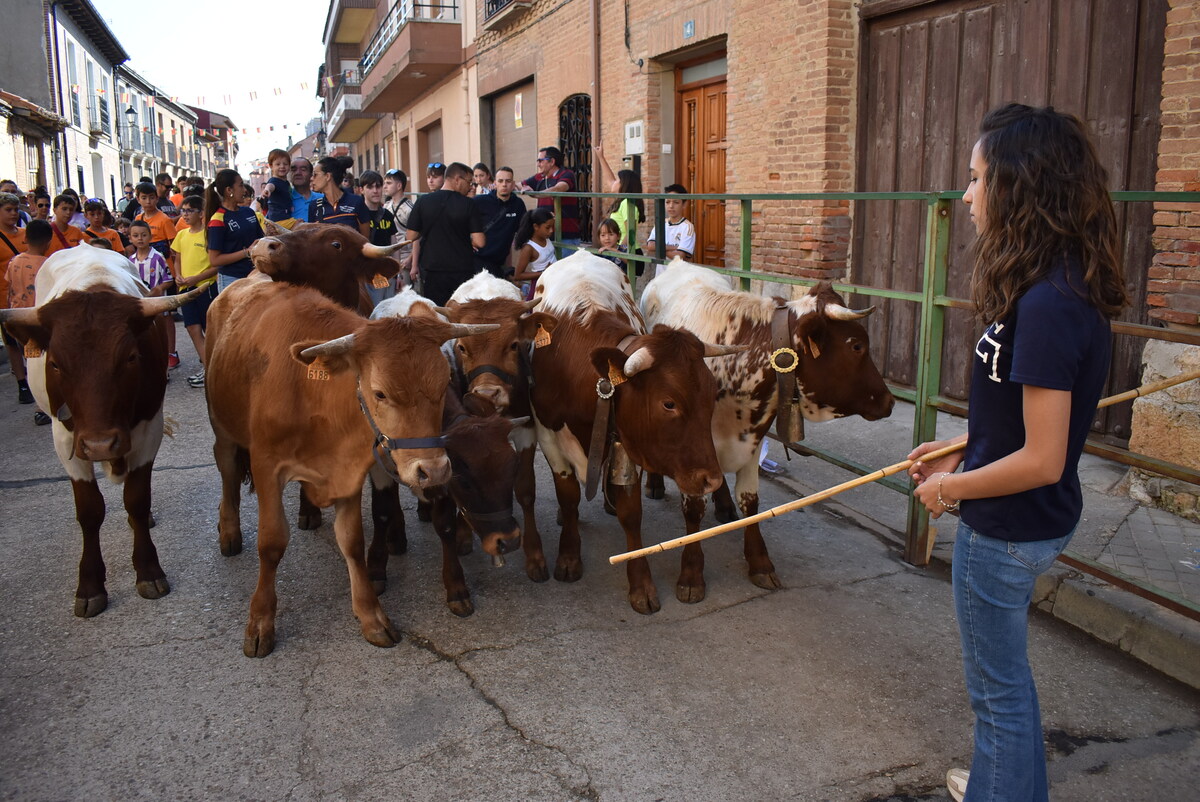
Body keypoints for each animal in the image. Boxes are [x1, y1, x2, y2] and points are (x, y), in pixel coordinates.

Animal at [0, 247, 199, 619]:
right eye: (55, 364)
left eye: (131, 357)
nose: (100, 445)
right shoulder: (66, 439)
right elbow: (90, 511)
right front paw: (90, 586)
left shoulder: (148, 429)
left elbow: (137, 499)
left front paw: (148, 571)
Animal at [204, 276, 494, 657]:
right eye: (380, 393)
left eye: (444, 381)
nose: (433, 471)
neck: (311, 394)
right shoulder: (267, 467)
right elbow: (271, 543)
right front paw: (260, 622)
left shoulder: (349, 473)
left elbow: (352, 542)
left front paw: (371, 616)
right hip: (222, 428)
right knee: (226, 472)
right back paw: (229, 531)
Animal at [532, 252, 744, 614]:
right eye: (669, 403)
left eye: (710, 394)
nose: (712, 479)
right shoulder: (548, 436)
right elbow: (568, 496)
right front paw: (569, 556)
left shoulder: (626, 441)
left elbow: (631, 514)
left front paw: (640, 584)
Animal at [643, 262, 897, 600]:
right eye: (857, 345)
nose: (889, 401)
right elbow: (694, 507)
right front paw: (691, 573)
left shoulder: (752, 437)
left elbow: (750, 501)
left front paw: (760, 563)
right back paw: (656, 484)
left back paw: (724, 506)